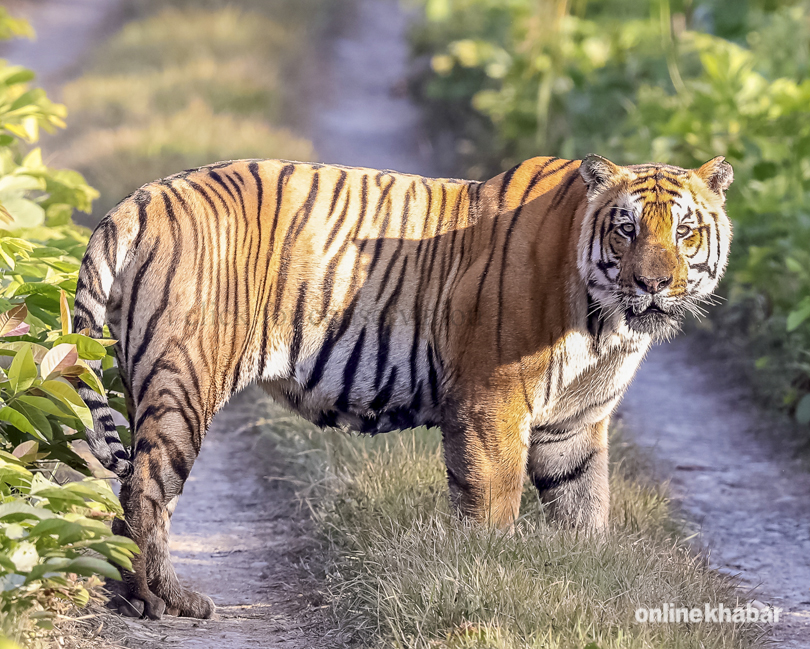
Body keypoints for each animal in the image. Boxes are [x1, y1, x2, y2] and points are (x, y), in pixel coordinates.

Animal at [76, 153, 732, 616]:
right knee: (144, 487)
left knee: (134, 483)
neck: (605, 325)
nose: (653, 285)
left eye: (685, 233)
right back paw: (162, 599)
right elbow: (493, 506)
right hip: (184, 377)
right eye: (626, 230)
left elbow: (585, 510)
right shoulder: (492, 403)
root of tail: (141, 199)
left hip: (141, 377)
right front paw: (490, 576)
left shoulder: (573, 425)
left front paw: (587, 583)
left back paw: (133, 595)